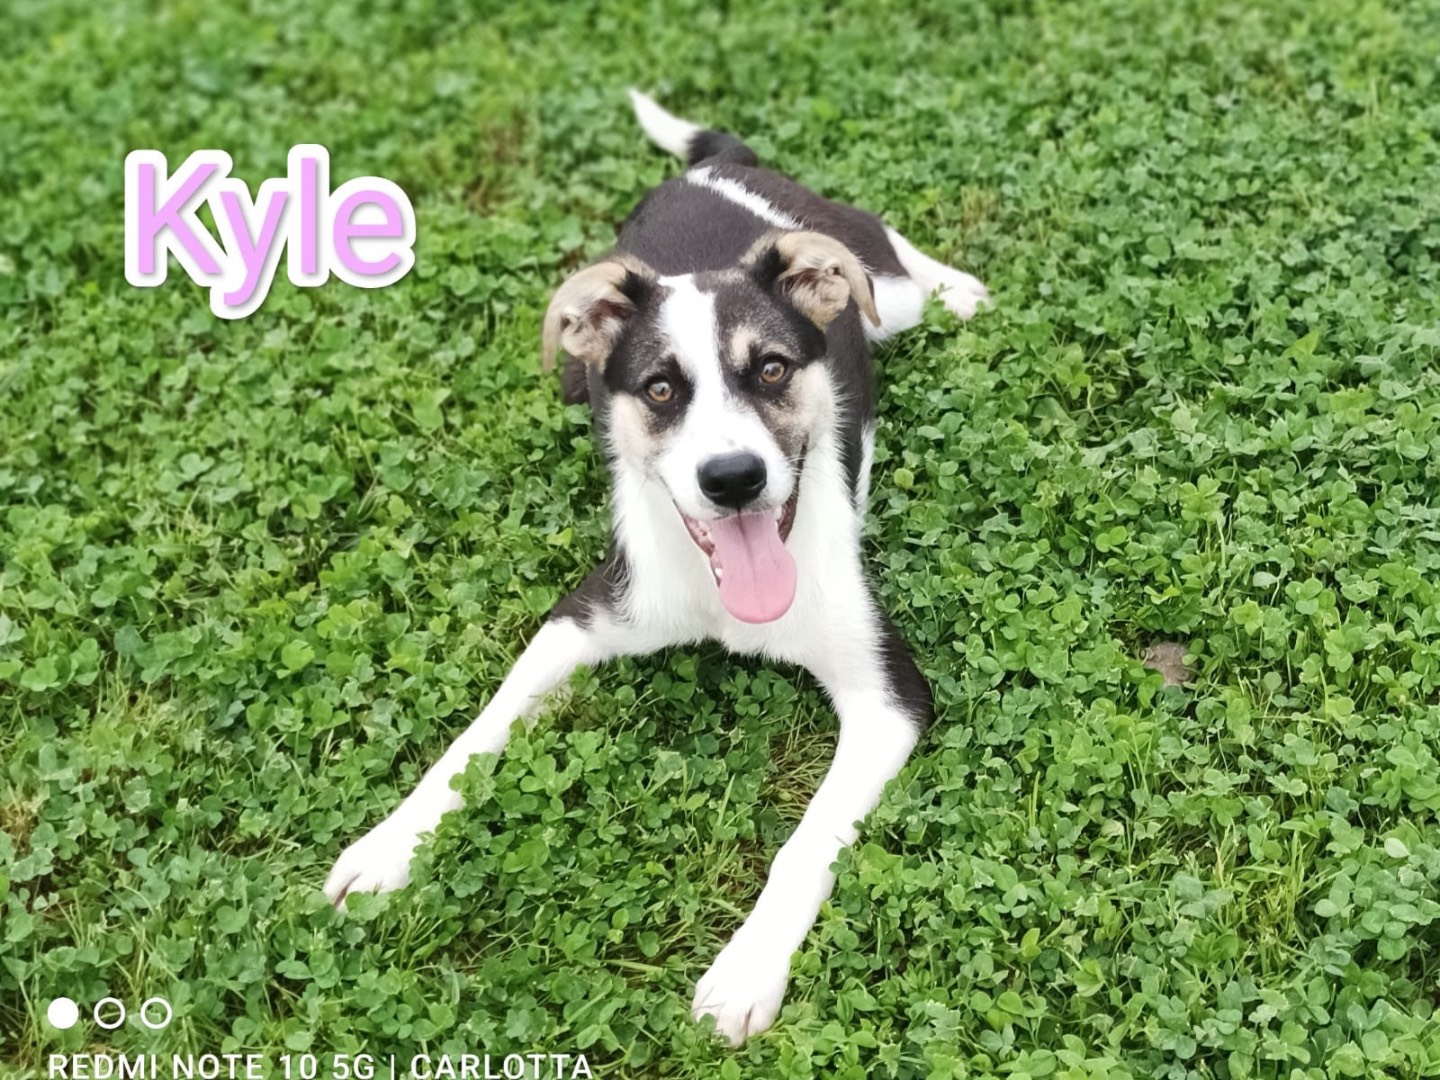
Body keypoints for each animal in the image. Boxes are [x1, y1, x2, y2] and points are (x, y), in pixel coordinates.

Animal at [324, 90, 988, 1044]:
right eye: (662, 390)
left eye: (773, 369)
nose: (733, 478)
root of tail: (715, 169)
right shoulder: (585, 615)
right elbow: (473, 738)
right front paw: (386, 848)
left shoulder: (887, 694)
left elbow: (807, 841)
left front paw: (746, 970)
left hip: (875, 292)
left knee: (885, 251)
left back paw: (956, 287)